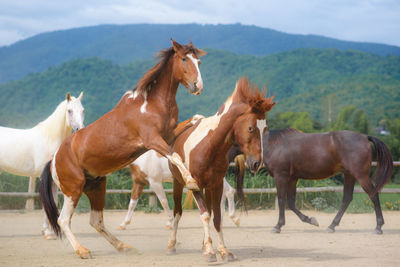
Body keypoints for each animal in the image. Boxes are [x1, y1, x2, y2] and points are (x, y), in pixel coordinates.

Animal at [0, 91, 84, 239]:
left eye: (83, 110)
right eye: (69, 111)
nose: (80, 130)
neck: (49, 137)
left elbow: (53, 202)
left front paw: (50, 230)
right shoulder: (44, 177)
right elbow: (46, 202)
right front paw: (48, 233)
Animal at [39, 39, 206, 260]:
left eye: (199, 61)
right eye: (184, 59)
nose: (198, 86)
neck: (151, 104)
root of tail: (54, 160)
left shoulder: (168, 136)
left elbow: (191, 122)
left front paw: (201, 119)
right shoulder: (153, 140)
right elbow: (175, 156)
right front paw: (191, 181)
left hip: (96, 186)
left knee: (96, 221)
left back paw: (124, 247)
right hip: (73, 190)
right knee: (63, 220)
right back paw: (83, 251)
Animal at [166, 77, 276, 262]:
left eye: (265, 129)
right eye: (250, 128)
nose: (257, 164)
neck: (210, 145)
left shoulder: (216, 185)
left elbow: (217, 217)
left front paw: (223, 250)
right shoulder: (194, 186)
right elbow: (204, 215)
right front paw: (210, 252)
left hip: (208, 187)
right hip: (178, 183)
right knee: (178, 212)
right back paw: (172, 245)